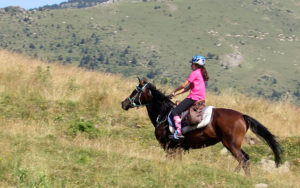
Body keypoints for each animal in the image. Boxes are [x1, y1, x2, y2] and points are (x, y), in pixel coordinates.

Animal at [120, 78, 280, 176]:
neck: (163, 114)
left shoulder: (167, 145)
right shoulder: (177, 148)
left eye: (135, 91)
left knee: (243, 159)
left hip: (231, 144)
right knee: (246, 158)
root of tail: (242, 116)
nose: (123, 103)